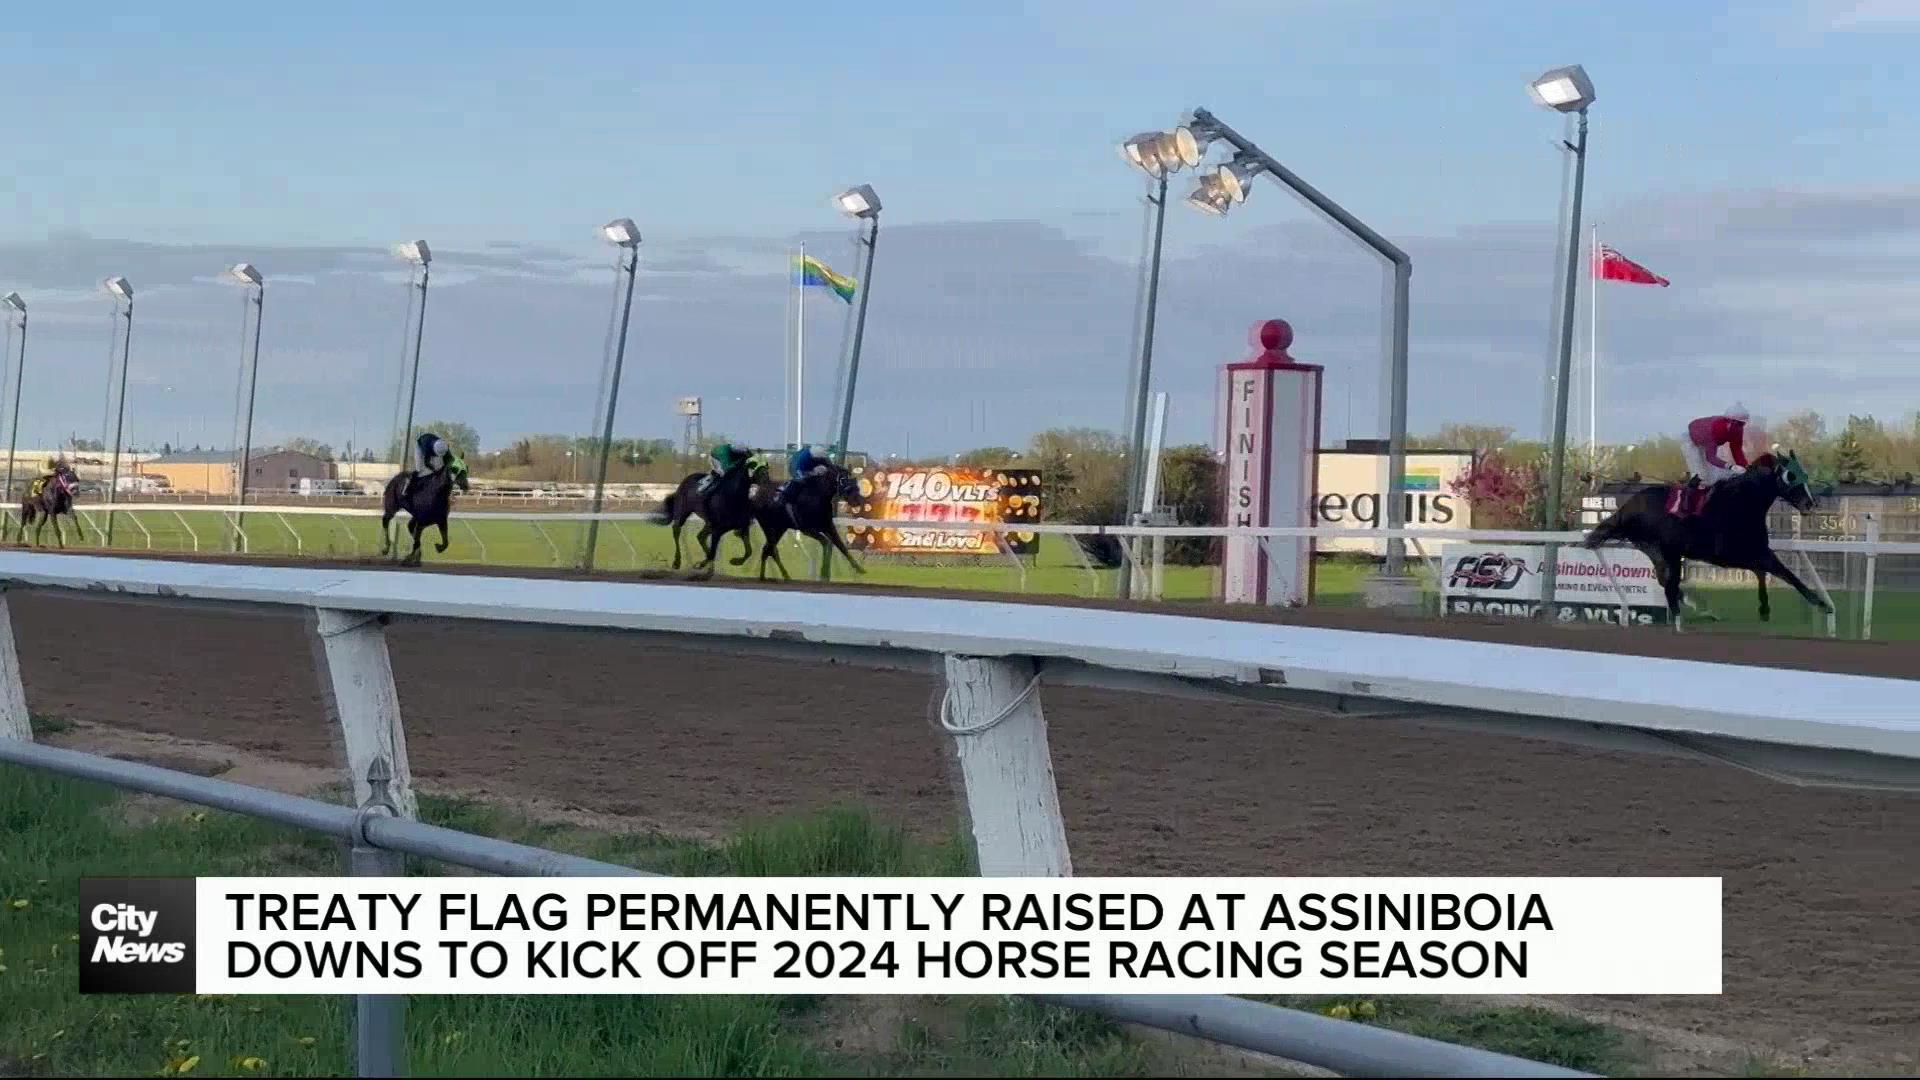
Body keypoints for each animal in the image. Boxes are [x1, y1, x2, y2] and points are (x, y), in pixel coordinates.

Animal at [1582, 447, 1835, 630]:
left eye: (1804, 474)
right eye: (1790, 475)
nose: (1810, 504)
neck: (1742, 503)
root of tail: (1627, 507)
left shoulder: (1755, 550)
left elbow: (1764, 572)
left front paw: (1765, 608)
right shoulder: (1733, 555)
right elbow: (1784, 573)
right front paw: (1822, 603)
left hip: (1660, 552)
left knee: (1669, 585)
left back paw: (1703, 613)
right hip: (1664, 550)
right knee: (1670, 587)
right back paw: (1680, 622)